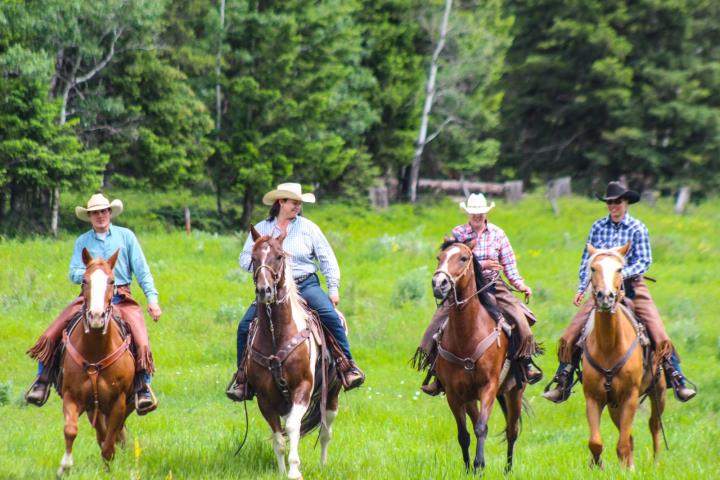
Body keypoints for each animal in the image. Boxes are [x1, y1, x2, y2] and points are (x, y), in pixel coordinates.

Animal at [57, 248, 135, 476]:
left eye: (111, 281)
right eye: (84, 280)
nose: (97, 317)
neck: (95, 353)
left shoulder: (118, 403)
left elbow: (109, 445)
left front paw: (108, 469)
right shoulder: (71, 395)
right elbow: (70, 430)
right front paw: (65, 466)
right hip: (94, 408)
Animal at [246, 226, 342, 480]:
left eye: (279, 256)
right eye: (253, 258)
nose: (265, 290)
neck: (276, 335)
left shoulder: (303, 388)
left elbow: (292, 426)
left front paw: (294, 470)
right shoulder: (264, 398)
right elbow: (278, 436)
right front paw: (282, 470)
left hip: (333, 394)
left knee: (326, 431)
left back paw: (324, 464)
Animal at [430, 240, 524, 472]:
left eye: (463, 258)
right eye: (439, 257)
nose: (438, 284)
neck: (467, 335)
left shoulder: (488, 386)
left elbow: (482, 427)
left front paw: (479, 465)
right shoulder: (454, 394)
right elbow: (464, 434)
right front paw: (468, 468)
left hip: (514, 392)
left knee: (512, 431)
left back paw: (508, 469)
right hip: (470, 397)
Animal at [584, 242, 668, 466]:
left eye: (619, 269)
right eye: (593, 268)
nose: (606, 296)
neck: (609, 346)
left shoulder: (630, 397)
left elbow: (622, 444)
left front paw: (627, 469)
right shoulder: (593, 398)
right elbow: (596, 442)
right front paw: (597, 466)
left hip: (659, 393)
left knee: (654, 425)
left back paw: (656, 462)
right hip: (614, 405)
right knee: (629, 435)